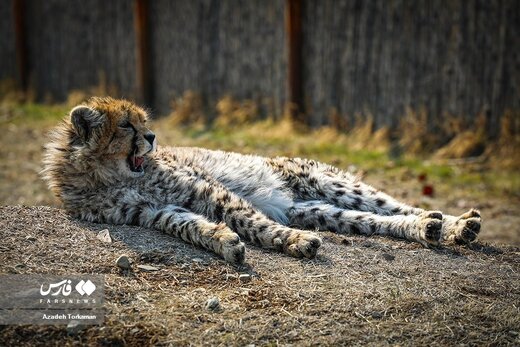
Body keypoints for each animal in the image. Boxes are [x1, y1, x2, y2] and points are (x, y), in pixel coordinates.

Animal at [41, 97, 484, 264]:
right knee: (375, 222)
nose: (151, 138)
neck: (108, 174)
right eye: (126, 125)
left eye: (142, 122)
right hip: (315, 209)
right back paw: (427, 229)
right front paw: (223, 243)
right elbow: (187, 225)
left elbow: (247, 218)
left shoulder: (201, 189)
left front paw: (288, 241)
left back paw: (456, 225)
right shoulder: (150, 211)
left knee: (395, 205)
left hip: (327, 183)